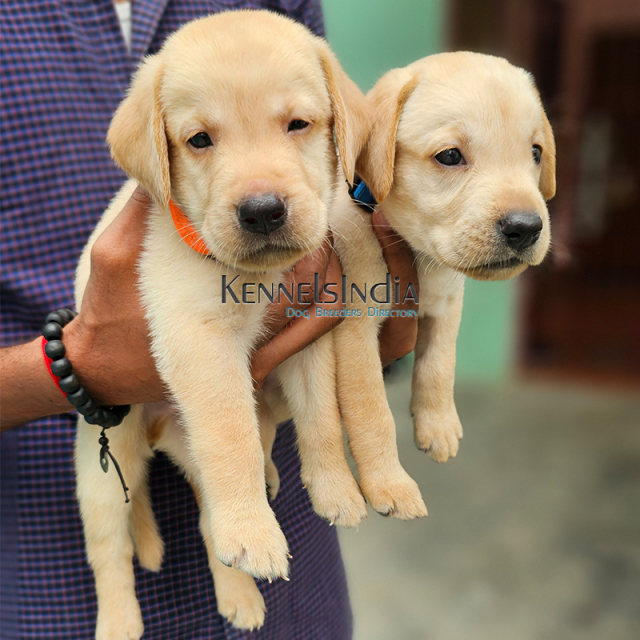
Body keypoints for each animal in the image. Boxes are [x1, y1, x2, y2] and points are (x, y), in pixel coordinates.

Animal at [73, 11, 368, 640]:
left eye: (298, 125)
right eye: (200, 140)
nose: (262, 211)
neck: (258, 276)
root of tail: (159, 437)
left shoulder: (309, 331)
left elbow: (321, 417)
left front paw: (334, 487)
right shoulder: (198, 338)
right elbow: (231, 434)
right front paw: (257, 535)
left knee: (213, 524)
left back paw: (242, 592)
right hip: (102, 471)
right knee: (110, 550)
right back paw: (122, 619)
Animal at [330, 53, 556, 516]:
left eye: (536, 152)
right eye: (450, 156)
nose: (527, 228)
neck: (420, 256)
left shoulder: (449, 302)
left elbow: (440, 363)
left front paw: (437, 425)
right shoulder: (355, 333)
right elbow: (373, 413)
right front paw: (389, 484)